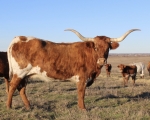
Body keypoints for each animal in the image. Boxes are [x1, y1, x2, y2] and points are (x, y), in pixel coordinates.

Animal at [5, 28, 139, 110]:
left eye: (108, 48)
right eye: (95, 47)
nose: (102, 61)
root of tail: (18, 38)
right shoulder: (82, 78)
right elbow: (81, 93)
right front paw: (83, 109)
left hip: (25, 75)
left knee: (21, 89)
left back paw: (28, 106)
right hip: (19, 73)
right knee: (12, 87)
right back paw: (9, 106)